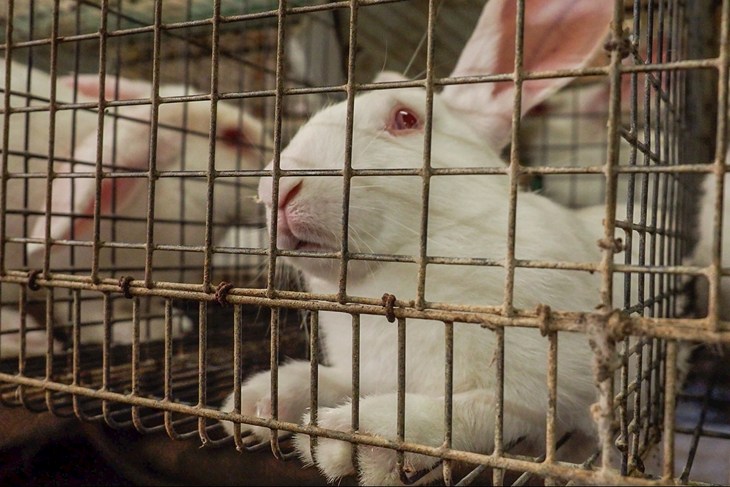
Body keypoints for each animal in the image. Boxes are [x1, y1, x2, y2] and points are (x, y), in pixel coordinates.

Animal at [220, 0, 618, 484]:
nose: (273, 190)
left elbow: (469, 412)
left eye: (405, 119)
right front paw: (256, 402)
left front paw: (349, 440)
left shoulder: (545, 392)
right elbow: (329, 381)